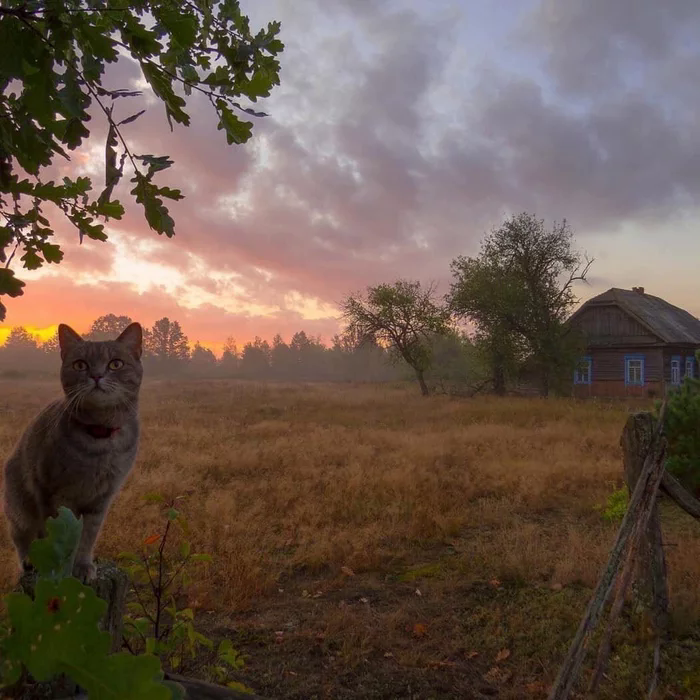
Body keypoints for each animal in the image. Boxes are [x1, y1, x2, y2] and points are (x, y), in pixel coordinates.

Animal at [1, 322, 144, 580]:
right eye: (80, 365)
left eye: (115, 364)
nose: (96, 375)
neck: (99, 441)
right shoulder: (51, 494)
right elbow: (56, 538)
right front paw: (59, 570)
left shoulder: (101, 501)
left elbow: (87, 537)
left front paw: (83, 565)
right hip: (20, 509)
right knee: (22, 538)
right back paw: (28, 562)